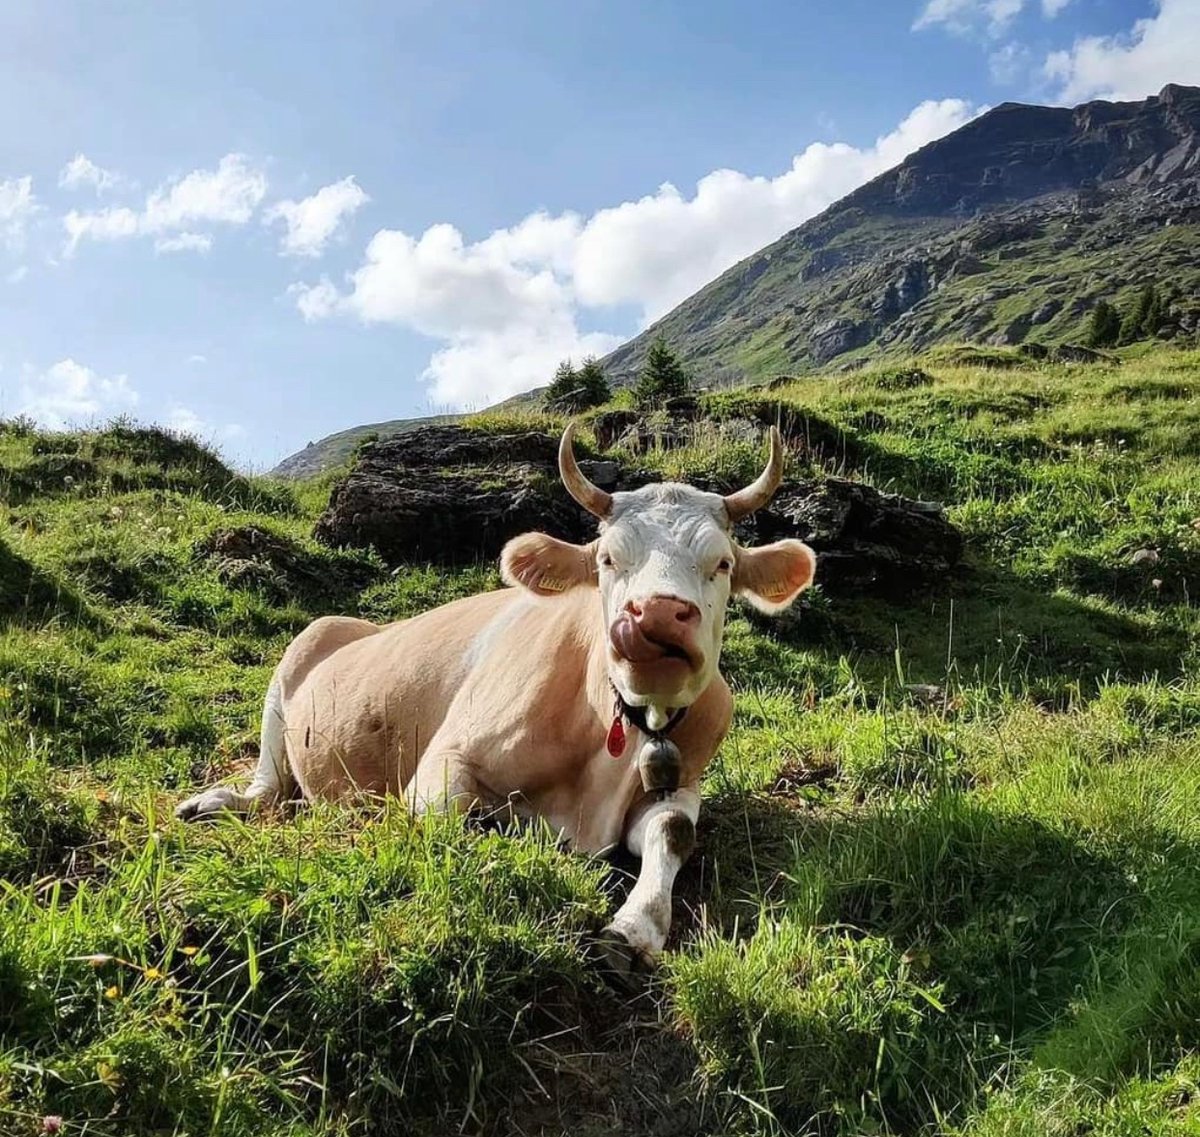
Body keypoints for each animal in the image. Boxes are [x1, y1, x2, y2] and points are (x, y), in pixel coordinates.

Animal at [176, 424, 815, 976]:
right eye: (608, 558)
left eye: (722, 563)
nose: (655, 614)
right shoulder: (443, 763)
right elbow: (463, 821)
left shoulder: (681, 781)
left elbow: (672, 832)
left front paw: (634, 928)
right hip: (294, 665)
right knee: (267, 787)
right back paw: (212, 803)